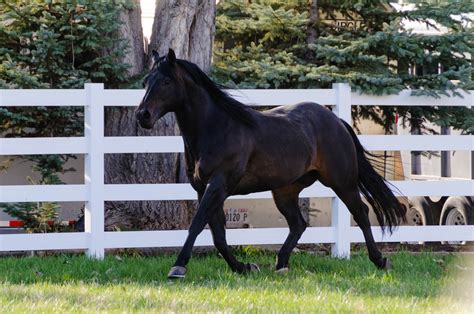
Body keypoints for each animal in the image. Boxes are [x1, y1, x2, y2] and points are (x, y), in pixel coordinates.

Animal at [135, 47, 406, 278]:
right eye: (146, 82)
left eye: (166, 81)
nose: (142, 115)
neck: (216, 128)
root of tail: (337, 121)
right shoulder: (204, 189)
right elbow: (218, 234)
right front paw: (244, 267)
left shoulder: (218, 185)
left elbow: (198, 224)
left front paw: (178, 267)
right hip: (285, 190)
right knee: (298, 224)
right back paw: (281, 263)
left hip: (342, 182)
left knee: (360, 214)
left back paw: (380, 260)